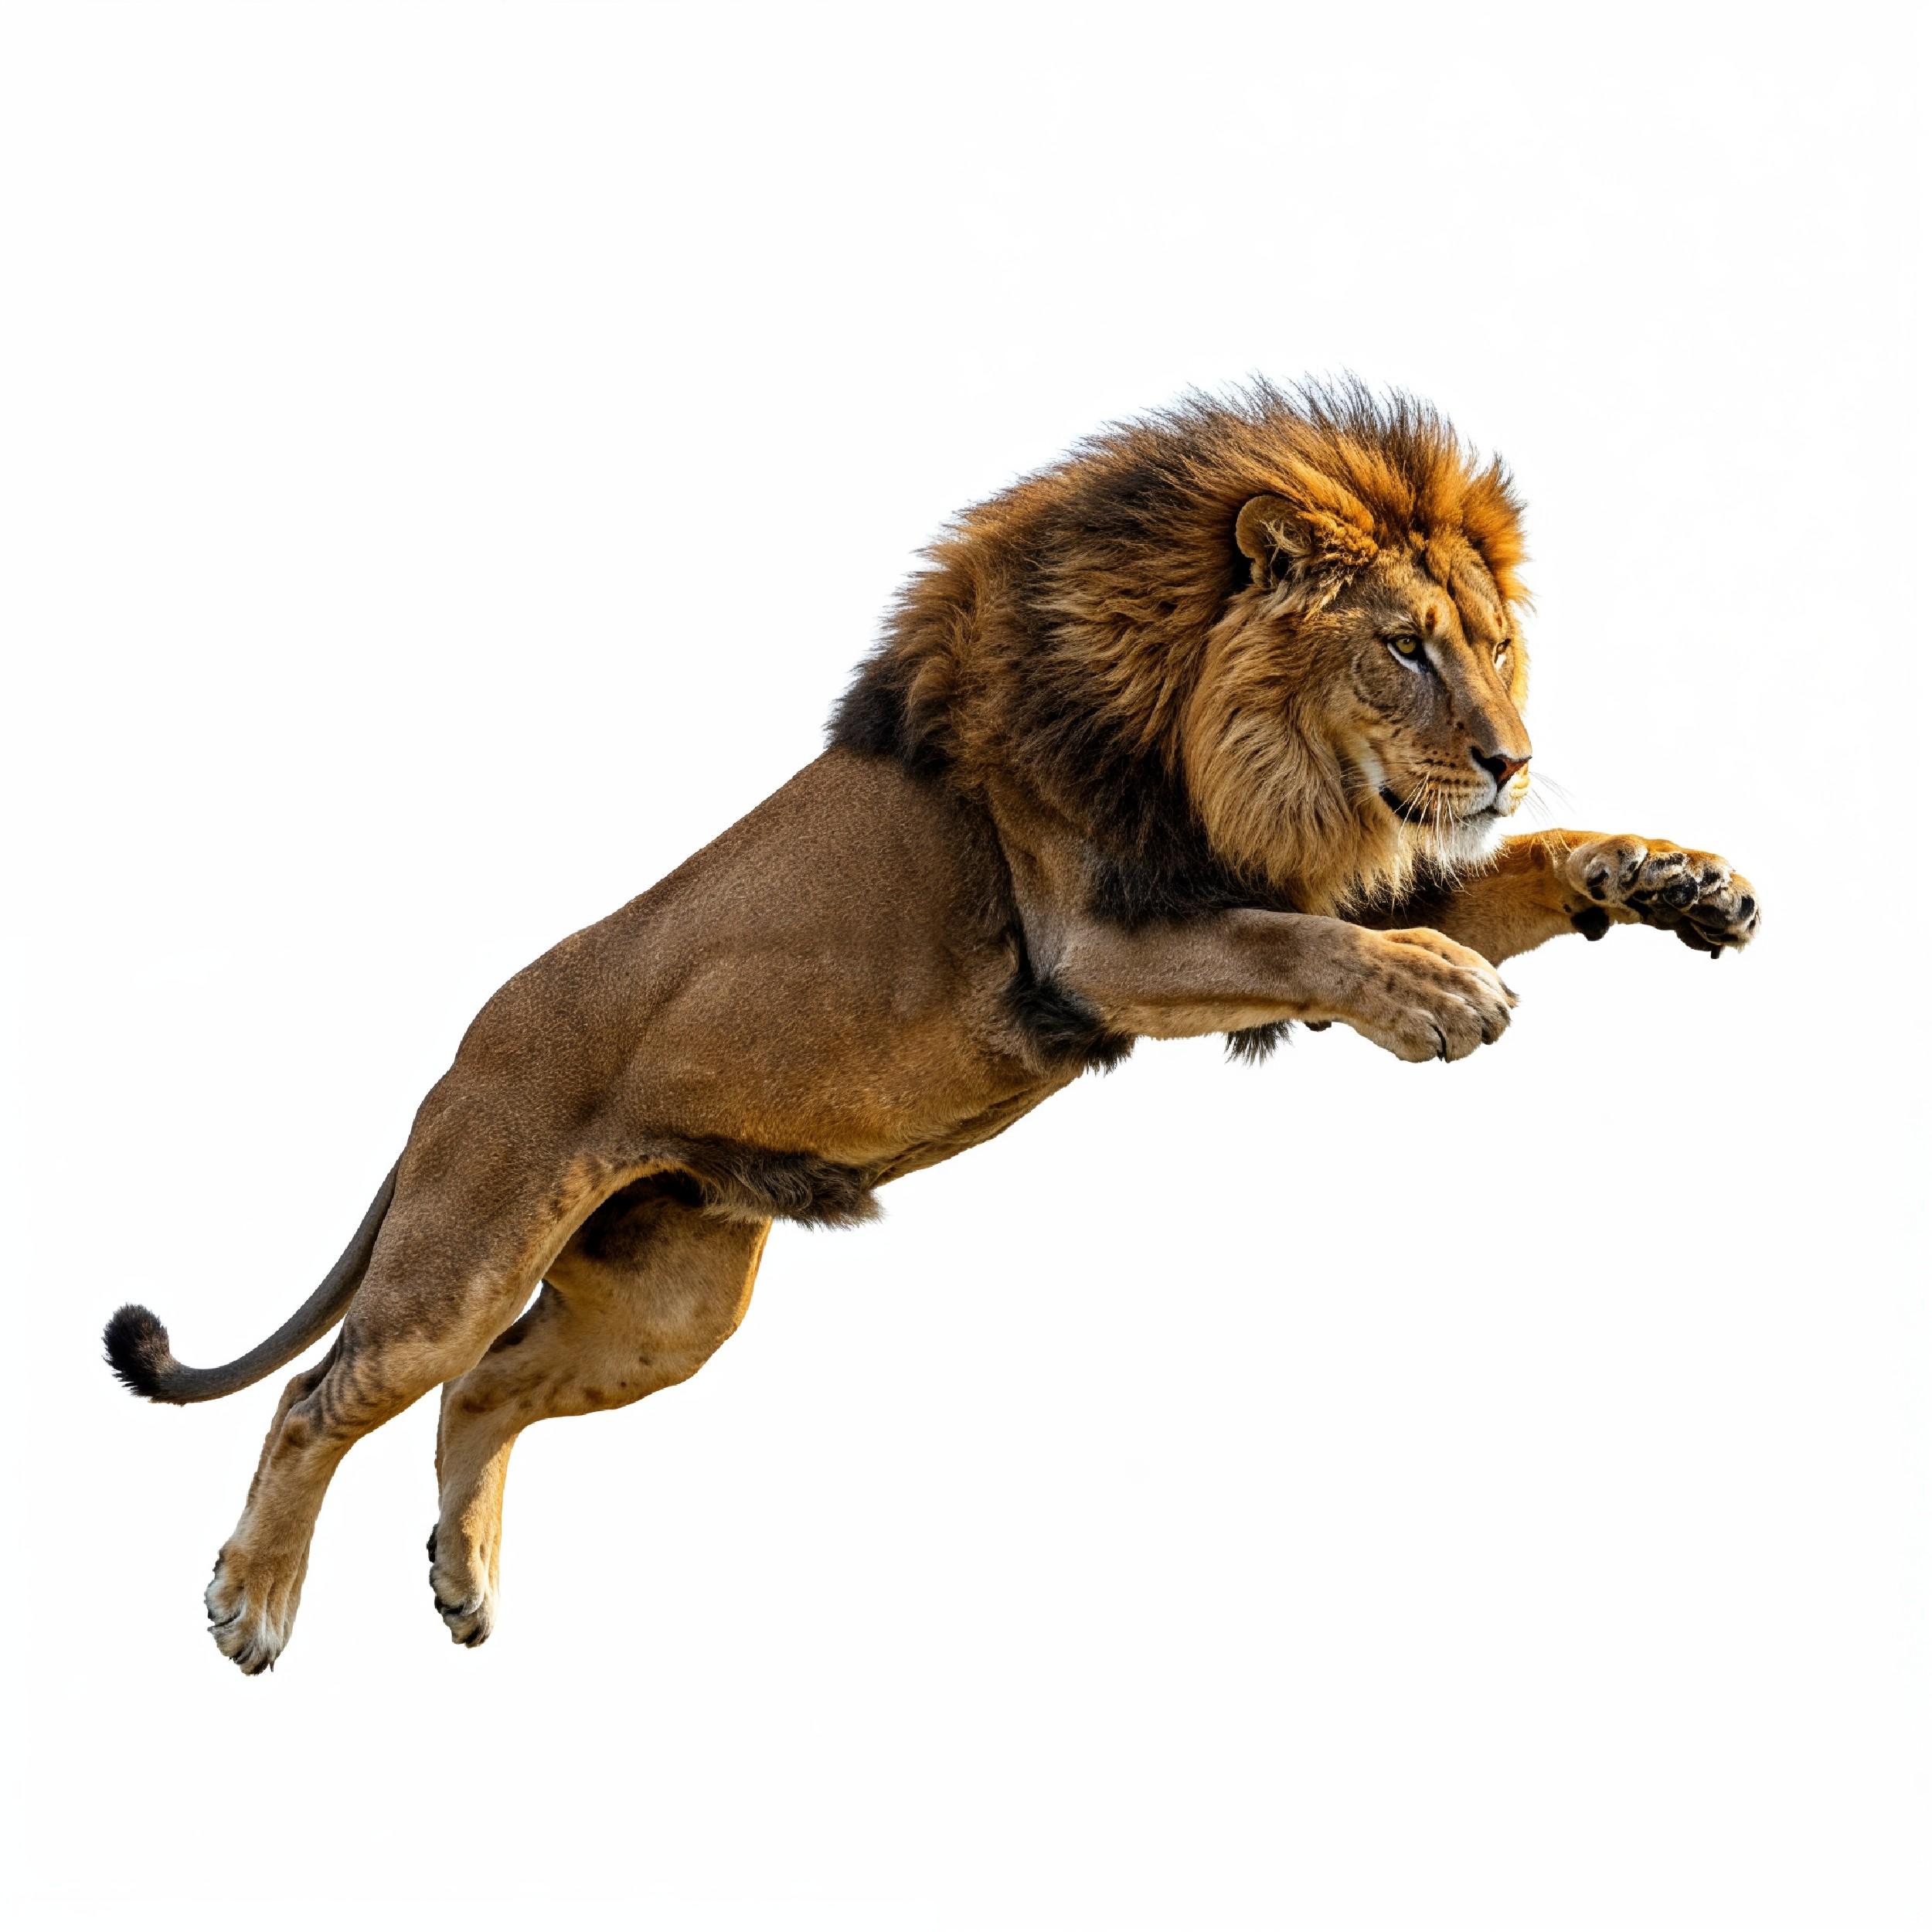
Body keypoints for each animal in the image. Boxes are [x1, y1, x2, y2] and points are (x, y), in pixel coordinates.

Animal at [104, 380, 1759, 1673]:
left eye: (1491, 644)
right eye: (1404, 649)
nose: (1509, 758)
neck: (1217, 737)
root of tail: (454, 1058)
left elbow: (1512, 876)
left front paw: (1675, 881)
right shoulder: (1101, 942)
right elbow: (1305, 942)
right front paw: (1438, 996)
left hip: (669, 1310)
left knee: (484, 1387)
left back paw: (465, 1580)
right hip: (466, 1249)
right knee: (327, 1396)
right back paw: (252, 1605)